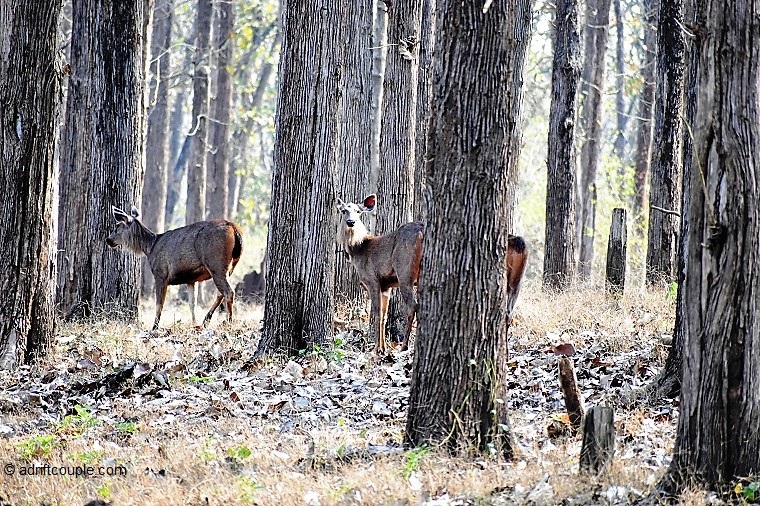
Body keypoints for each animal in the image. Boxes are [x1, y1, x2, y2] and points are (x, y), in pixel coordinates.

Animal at [106, 206, 243, 330]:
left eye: (117, 226)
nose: (108, 239)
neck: (150, 248)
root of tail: (234, 228)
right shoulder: (191, 279)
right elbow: (192, 304)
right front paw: (194, 324)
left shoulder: (160, 273)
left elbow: (159, 304)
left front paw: (154, 327)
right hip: (230, 266)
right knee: (221, 293)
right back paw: (206, 321)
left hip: (216, 263)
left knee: (228, 292)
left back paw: (229, 322)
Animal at [336, 194, 423, 354]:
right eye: (344, 211)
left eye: (358, 211)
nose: (351, 222)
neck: (359, 249)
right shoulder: (386, 286)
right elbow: (384, 315)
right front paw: (383, 347)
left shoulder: (372, 280)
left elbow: (376, 314)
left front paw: (377, 348)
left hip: (404, 271)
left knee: (413, 305)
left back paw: (404, 346)